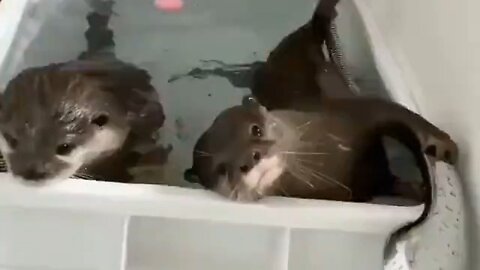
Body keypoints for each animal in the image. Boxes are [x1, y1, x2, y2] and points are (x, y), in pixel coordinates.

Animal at [184, 97, 458, 202]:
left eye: (256, 130)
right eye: (221, 169)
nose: (249, 158)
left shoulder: (358, 111)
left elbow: (401, 114)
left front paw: (447, 148)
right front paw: (418, 191)